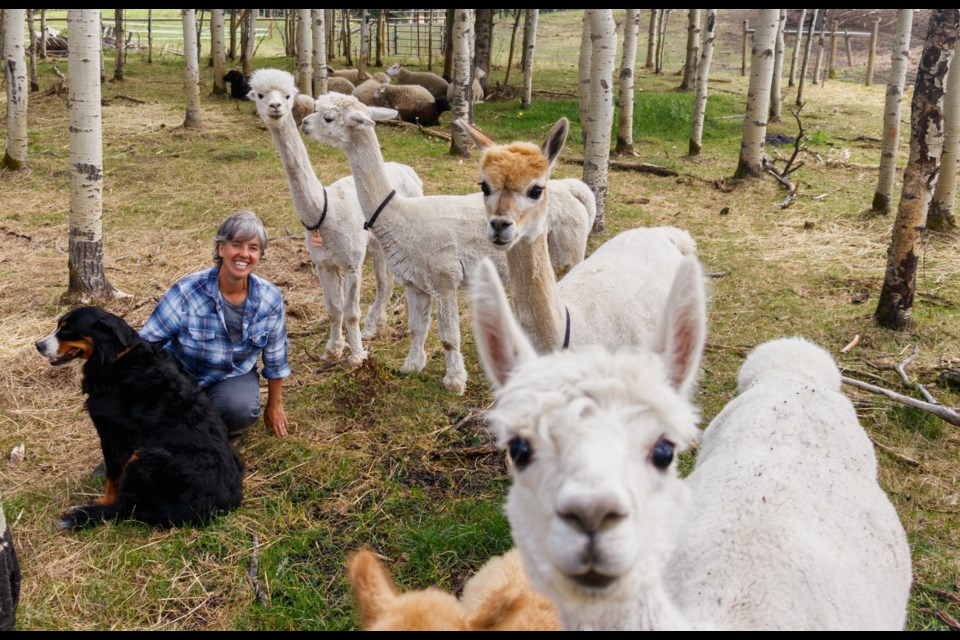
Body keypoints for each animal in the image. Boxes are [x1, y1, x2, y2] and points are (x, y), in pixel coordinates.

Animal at [34, 308, 244, 528]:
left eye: (66, 330)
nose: (38, 345)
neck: (114, 360)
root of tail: (213, 508)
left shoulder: (111, 435)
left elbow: (113, 477)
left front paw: (103, 501)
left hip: (146, 456)